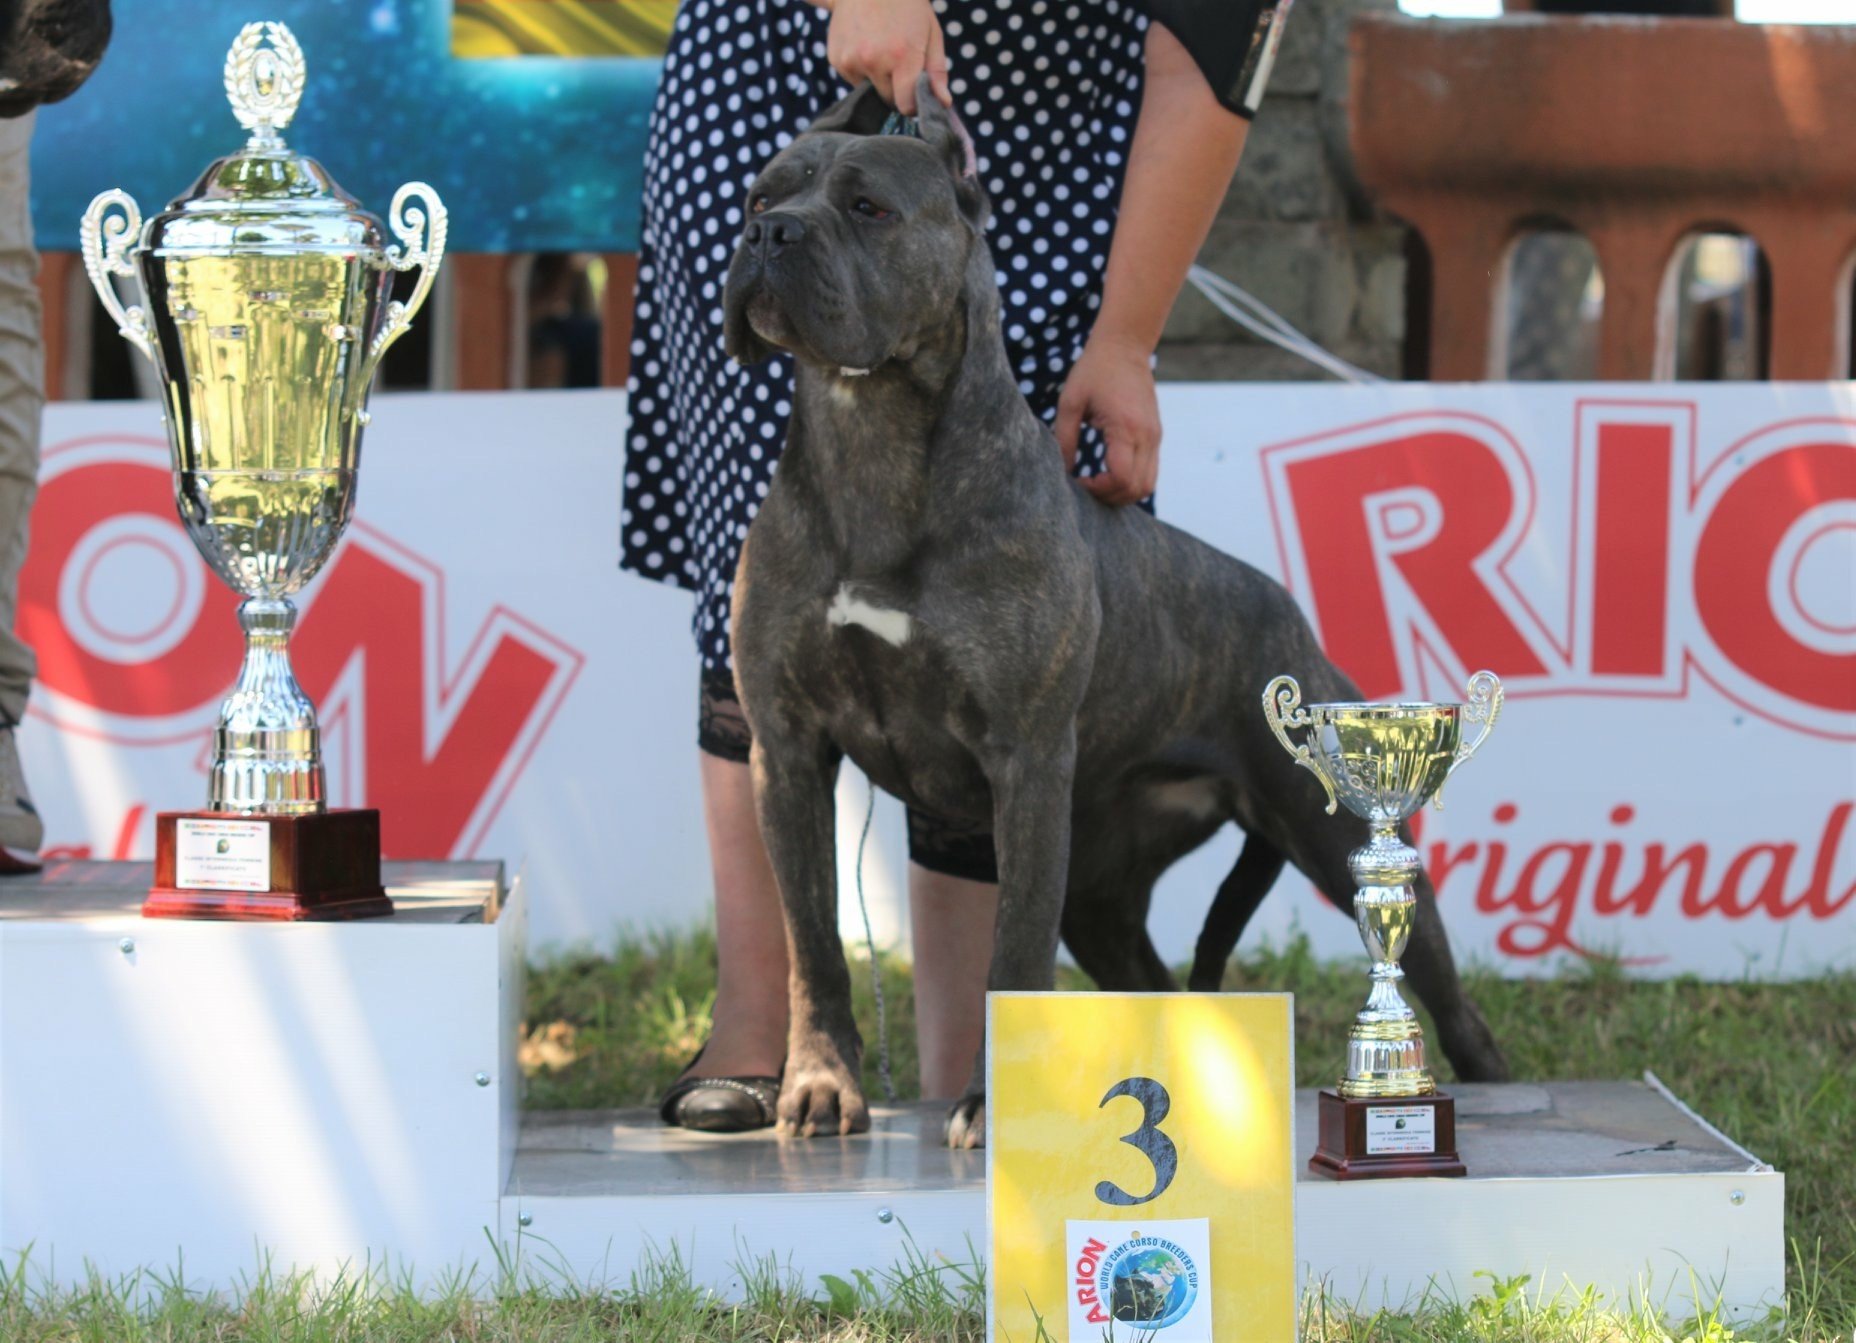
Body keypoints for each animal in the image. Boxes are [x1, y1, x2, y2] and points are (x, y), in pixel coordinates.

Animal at [723, 81, 1507, 1142]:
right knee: (1160, 984)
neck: (871, 439)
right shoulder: (790, 748)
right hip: (1100, 893)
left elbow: (1010, 957)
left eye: (869, 208)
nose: (768, 233)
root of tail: (1289, 622)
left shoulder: (1023, 764)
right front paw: (819, 1081)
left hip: (1334, 837)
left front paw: (988, 1103)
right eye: (763, 193)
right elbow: (812, 941)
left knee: (1451, 998)